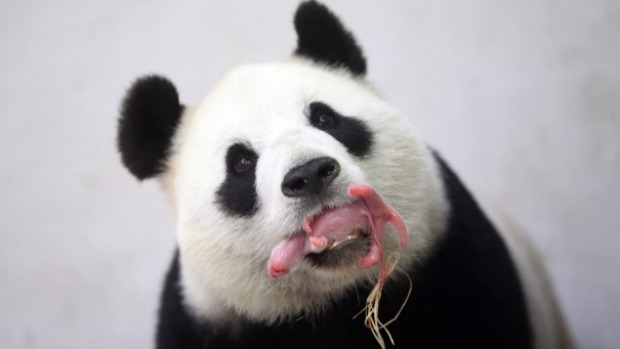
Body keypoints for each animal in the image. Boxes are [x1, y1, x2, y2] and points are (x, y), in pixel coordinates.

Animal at [115, 1, 560, 346]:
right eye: (240, 163)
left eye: (325, 118)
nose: (310, 174)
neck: (339, 299)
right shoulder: (206, 318)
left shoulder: (458, 259)